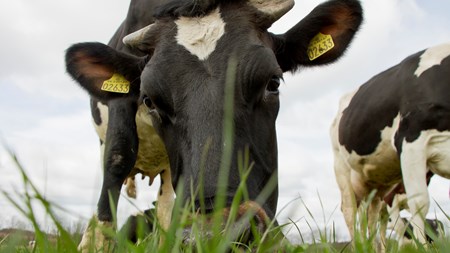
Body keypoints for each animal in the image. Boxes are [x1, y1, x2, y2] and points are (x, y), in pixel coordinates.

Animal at [66, 0, 362, 250]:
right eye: (149, 100)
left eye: (273, 82)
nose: (211, 234)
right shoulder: (120, 108)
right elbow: (118, 157)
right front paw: (94, 244)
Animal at [330, 42, 450, 251]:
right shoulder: (411, 140)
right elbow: (419, 203)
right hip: (343, 170)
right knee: (350, 212)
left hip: (375, 184)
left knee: (370, 217)